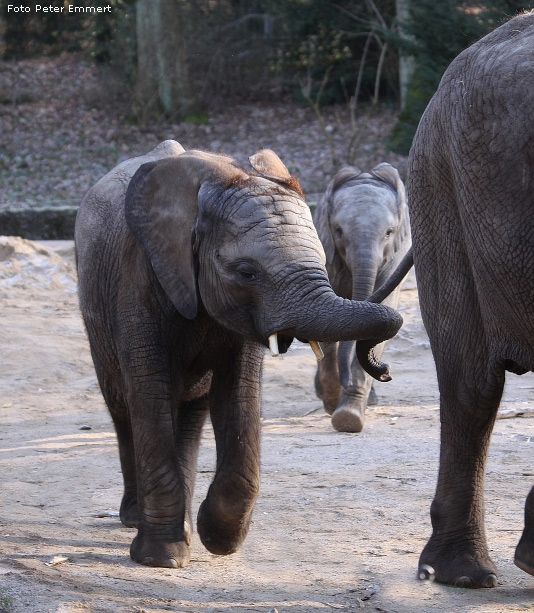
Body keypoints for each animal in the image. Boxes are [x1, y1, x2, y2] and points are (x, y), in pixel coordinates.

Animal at [312, 163, 412, 430]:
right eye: (338, 231)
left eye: (389, 233)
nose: (386, 372)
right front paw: (333, 402)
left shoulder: (395, 257)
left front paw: (349, 418)